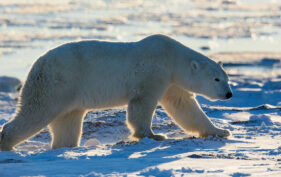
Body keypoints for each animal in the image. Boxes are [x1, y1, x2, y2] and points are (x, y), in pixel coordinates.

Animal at [0, 34, 232, 151]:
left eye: (226, 78)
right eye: (216, 79)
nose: (229, 94)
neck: (172, 56)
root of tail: (36, 64)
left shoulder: (171, 81)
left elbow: (185, 107)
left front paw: (221, 131)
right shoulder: (153, 71)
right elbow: (142, 102)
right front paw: (154, 135)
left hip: (70, 98)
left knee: (67, 124)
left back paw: (64, 146)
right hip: (57, 84)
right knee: (36, 112)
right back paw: (7, 143)